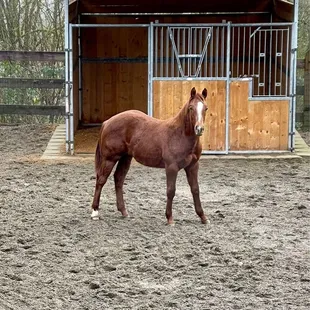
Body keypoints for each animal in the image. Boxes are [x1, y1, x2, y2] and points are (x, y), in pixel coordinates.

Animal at [91, 87, 209, 225]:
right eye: (191, 108)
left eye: (205, 108)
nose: (199, 129)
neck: (180, 135)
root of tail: (107, 122)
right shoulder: (171, 167)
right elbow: (171, 190)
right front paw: (169, 218)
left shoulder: (193, 166)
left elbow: (195, 189)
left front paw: (203, 217)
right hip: (109, 159)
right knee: (101, 180)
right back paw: (95, 212)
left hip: (125, 158)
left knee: (118, 179)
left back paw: (124, 212)